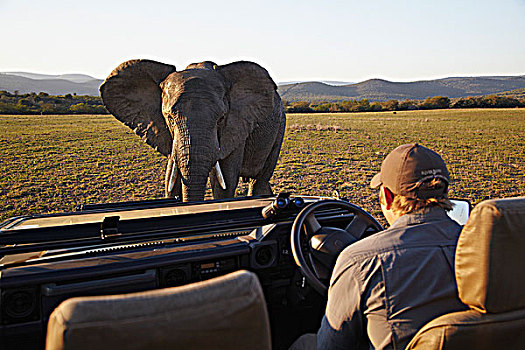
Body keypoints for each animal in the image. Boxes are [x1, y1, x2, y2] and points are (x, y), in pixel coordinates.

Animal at [100, 60, 284, 202]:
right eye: (170, 118)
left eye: (221, 119)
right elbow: (170, 179)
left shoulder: (236, 128)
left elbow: (224, 184)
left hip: (279, 129)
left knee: (259, 180)